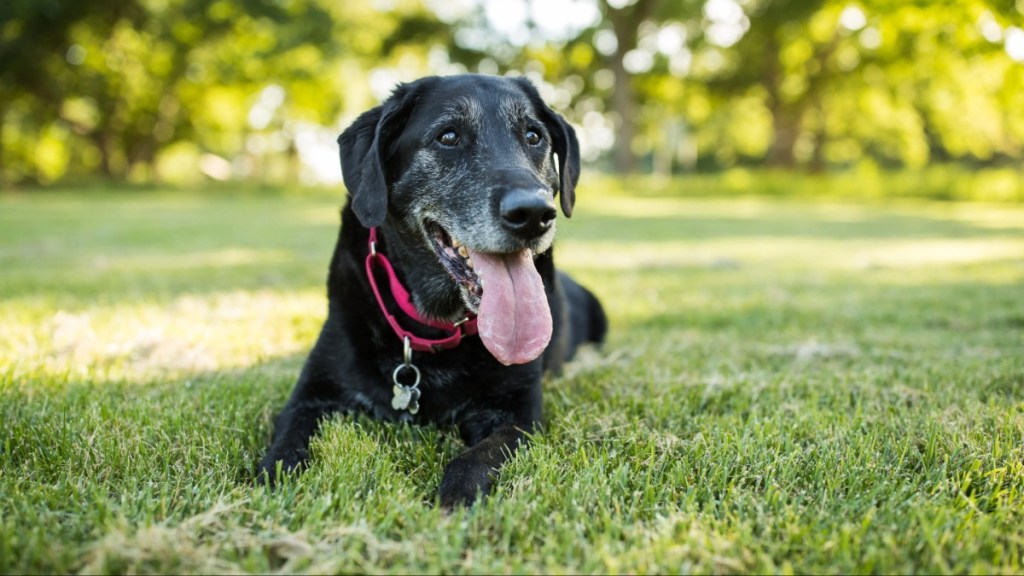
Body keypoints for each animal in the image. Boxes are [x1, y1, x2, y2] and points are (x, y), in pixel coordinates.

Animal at [258, 72, 606, 506]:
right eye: (448, 136)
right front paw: (275, 479)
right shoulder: (310, 395)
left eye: (533, 135)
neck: (433, 327)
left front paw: (454, 500)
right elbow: (286, 445)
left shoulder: (520, 415)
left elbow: (474, 459)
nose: (533, 214)